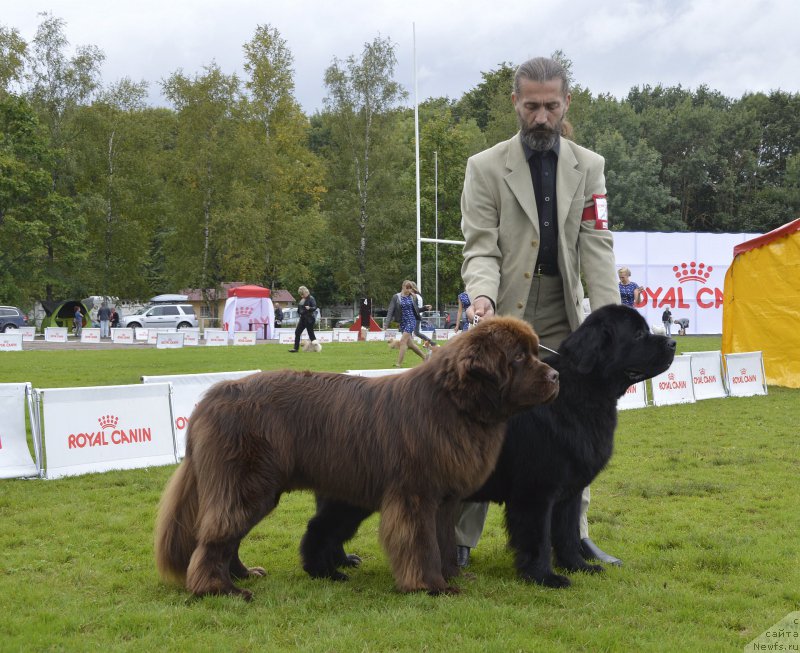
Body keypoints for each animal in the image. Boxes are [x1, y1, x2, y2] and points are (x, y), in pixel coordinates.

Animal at [155, 314, 556, 600]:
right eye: (519, 356)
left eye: (535, 352)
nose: (555, 375)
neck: (455, 405)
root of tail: (211, 398)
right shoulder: (415, 494)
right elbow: (422, 542)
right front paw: (431, 586)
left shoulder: (445, 498)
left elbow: (443, 540)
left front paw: (453, 576)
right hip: (246, 484)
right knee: (216, 537)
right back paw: (221, 589)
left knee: (227, 536)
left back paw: (242, 573)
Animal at [304, 304, 680, 584]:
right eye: (638, 334)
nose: (673, 344)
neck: (581, 394)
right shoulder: (536, 491)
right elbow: (539, 537)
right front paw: (544, 576)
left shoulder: (569, 492)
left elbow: (568, 534)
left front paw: (579, 566)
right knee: (319, 527)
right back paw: (323, 571)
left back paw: (341, 561)